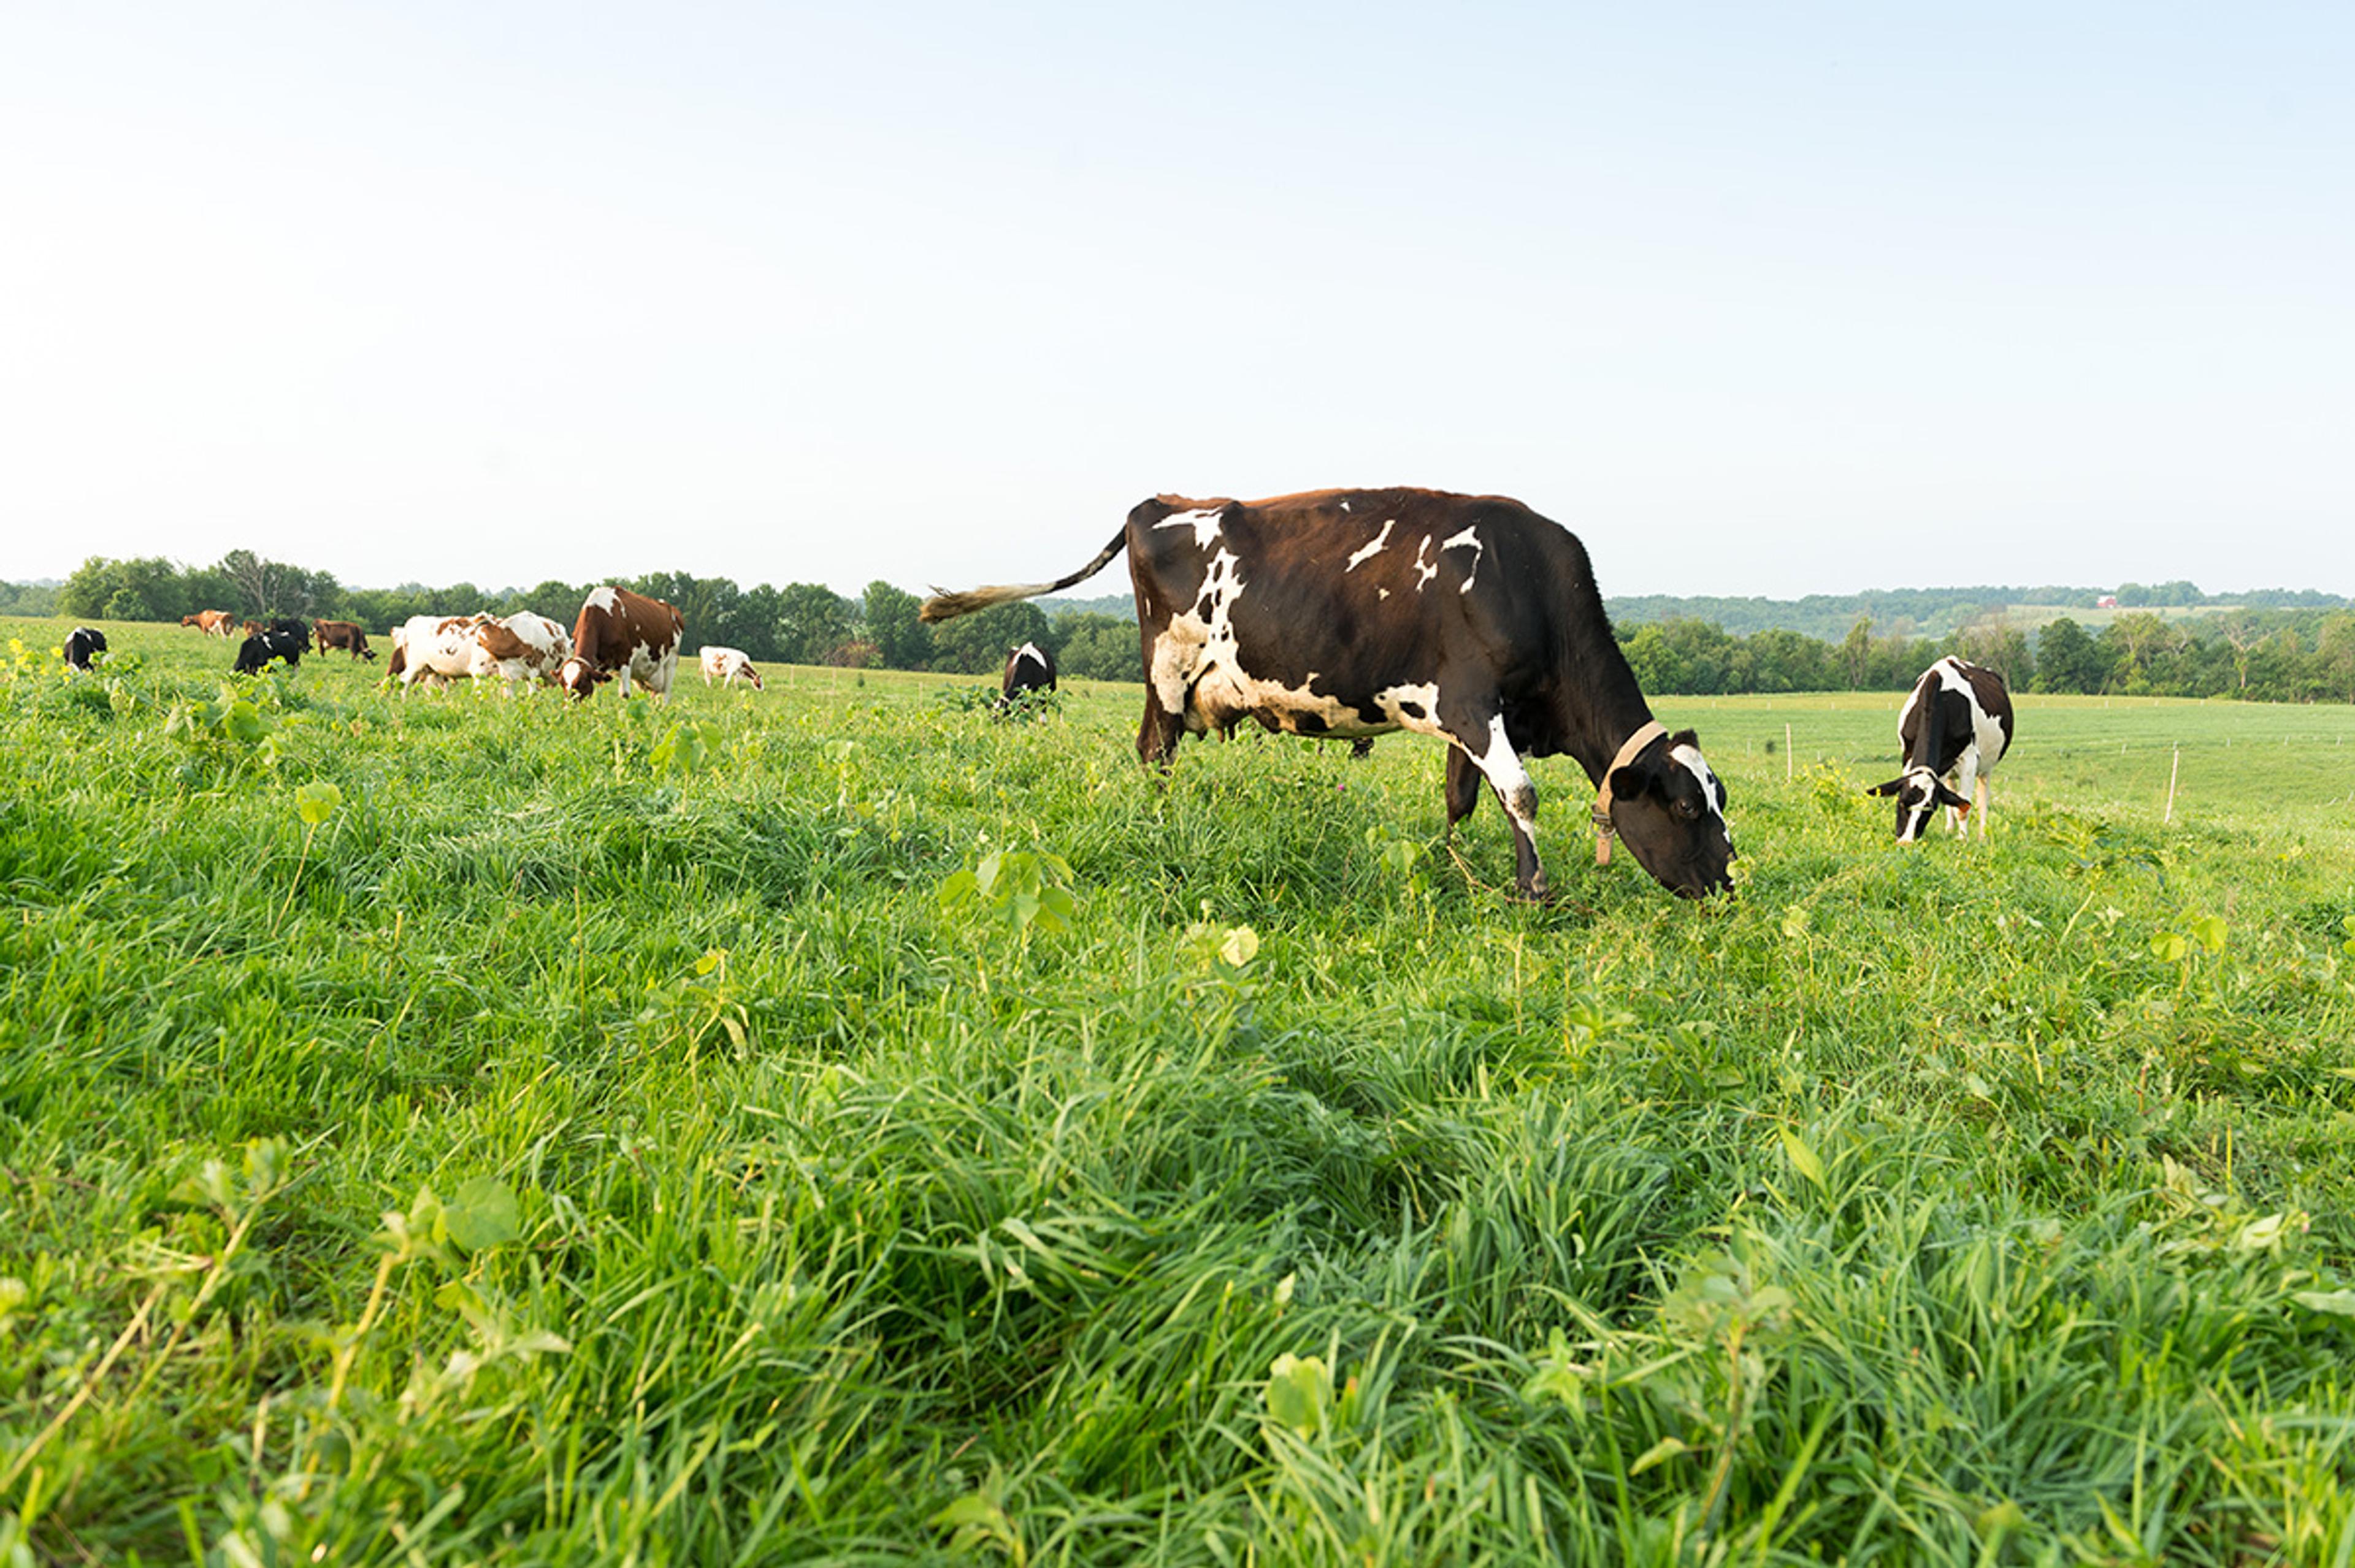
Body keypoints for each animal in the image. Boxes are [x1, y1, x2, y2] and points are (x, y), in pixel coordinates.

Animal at [557, 587, 683, 701]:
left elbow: (625, 694)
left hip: (671, 662)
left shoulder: (625, 658)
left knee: (666, 694)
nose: (568, 708)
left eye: (581, 683)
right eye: (562, 683)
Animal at [920, 488, 1735, 899]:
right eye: (1685, 808)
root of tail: (1159, 501)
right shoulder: (1474, 703)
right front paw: (1531, 889)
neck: (1527, 584)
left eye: (1721, 798)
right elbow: (1522, 794)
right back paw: (1159, 823)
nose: (1729, 884)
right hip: (1169, 670)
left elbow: (1463, 799)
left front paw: (1451, 863)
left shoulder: (1470, 714)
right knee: (1155, 752)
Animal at [1869, 656, 2014, 842]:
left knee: (1983, 799)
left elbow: (1963, 807)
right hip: (1948, 768)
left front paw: (1963, 840)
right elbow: (1952, 801)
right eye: (1901, 803)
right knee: (1951, 791)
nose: (1906, 842)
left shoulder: (1969, 760)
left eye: (1930, 809)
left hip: (1987, 766)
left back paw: (1982, 836)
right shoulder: (1907, 755)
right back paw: (1949, 830)